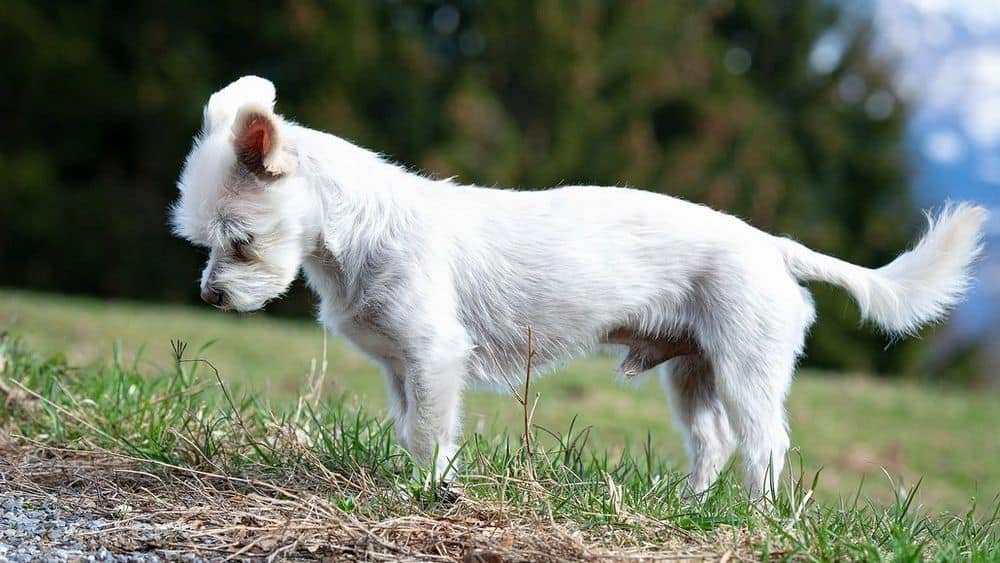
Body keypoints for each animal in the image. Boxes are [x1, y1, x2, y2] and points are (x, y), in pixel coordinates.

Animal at [170, 76, 984, 498]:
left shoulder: (433, 358)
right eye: (206, 244)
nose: (212, 296)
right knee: (713, 441)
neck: (356, 232)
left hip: (747, 369)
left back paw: (759, 518)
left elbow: (430, 434)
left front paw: (429, 492)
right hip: (693, 373)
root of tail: (774, 247)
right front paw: (421, 484)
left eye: (239, 241)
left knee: (765, 446)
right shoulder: (403, 368)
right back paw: (691, 506)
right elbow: (412, 431)